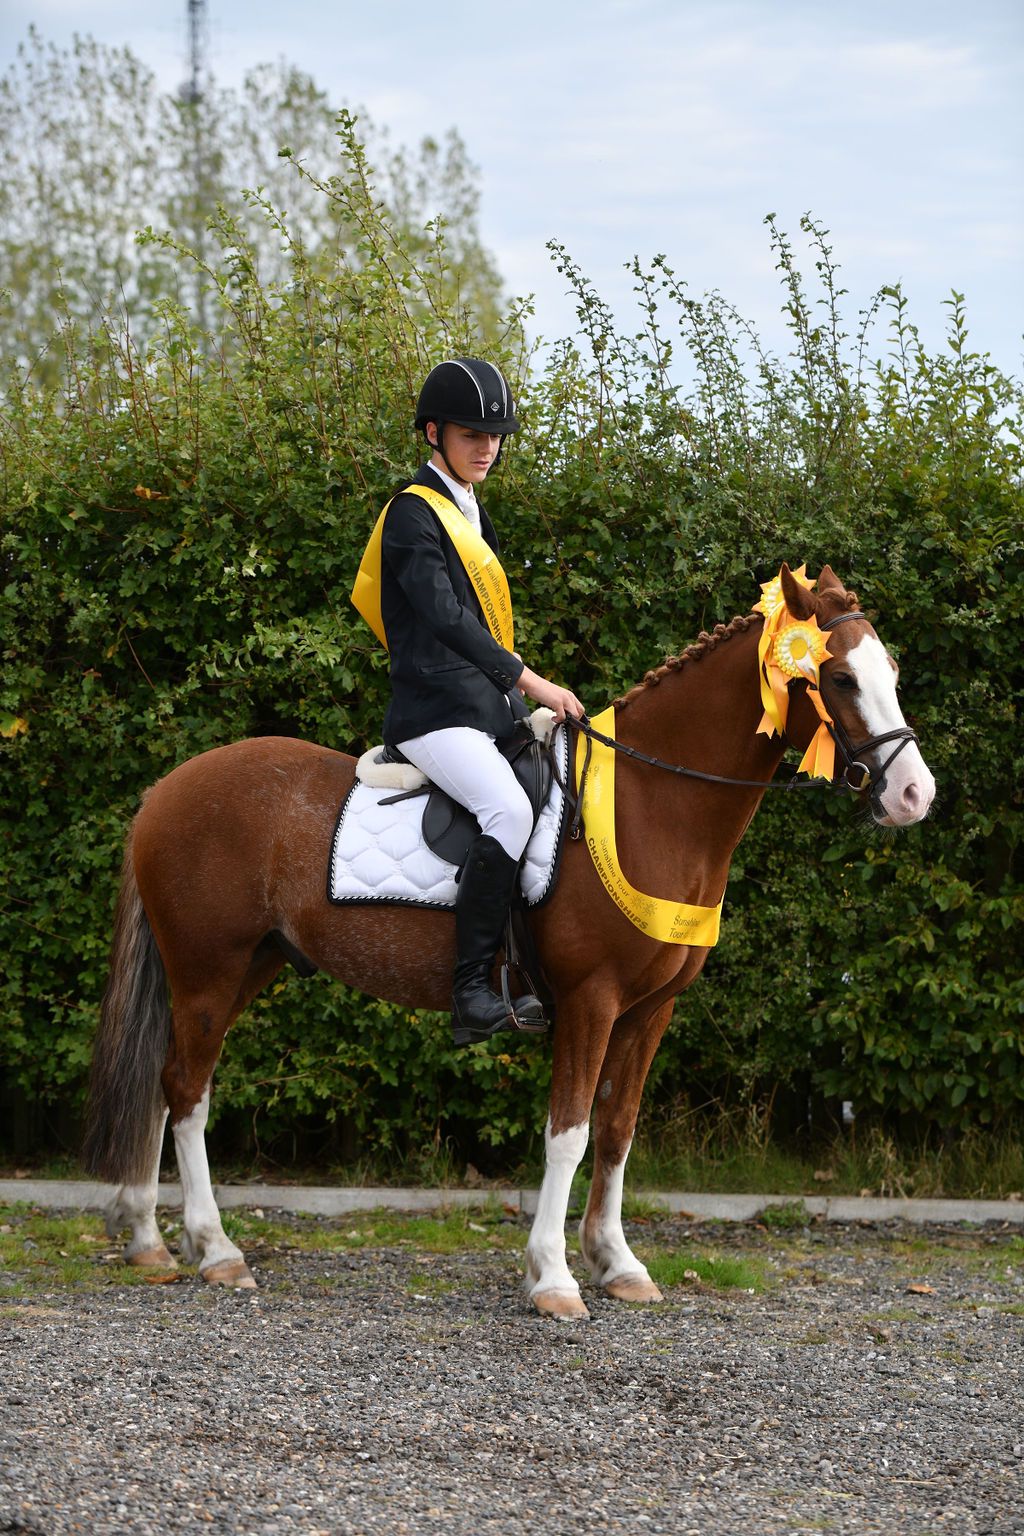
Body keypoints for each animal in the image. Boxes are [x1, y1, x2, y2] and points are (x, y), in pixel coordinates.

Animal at [83, 564, 935, 1318]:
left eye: (890, 669)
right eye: (841, 679)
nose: (914, 795)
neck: (652, 802)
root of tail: (164, 790)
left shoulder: (650, 1010)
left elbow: (618, 1130)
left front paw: (617, 1262)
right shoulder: (591, 1002)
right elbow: (568, 1133)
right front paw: (553, 1276)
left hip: (242, 968)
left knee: (165, 1083)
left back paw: (150, 1241)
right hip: (208, 970)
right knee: (187, 1092)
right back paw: (214, 1248)